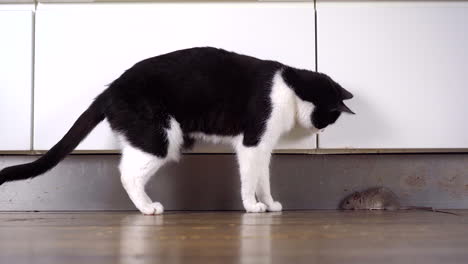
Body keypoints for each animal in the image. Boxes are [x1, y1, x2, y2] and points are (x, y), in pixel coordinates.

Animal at [0, 46, 352, 213]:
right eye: (330, 118)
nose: (322, 133)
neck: (290, 88)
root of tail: (110, 90)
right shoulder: (252, 143)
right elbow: (249, 180)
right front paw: (252, 207)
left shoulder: (263, 147)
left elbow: (263, 179)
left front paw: (270, 203)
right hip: (160, 135)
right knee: (127, 173)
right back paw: (148, 208)